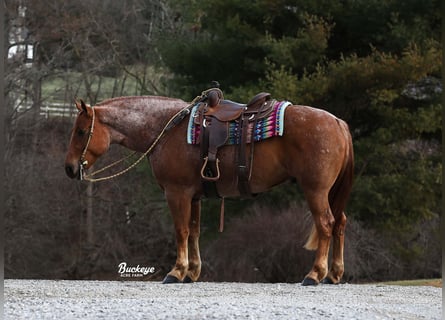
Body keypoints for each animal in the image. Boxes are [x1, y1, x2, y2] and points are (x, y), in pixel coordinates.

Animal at [63, 93, 354, 284]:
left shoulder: (177, 193)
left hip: (315, 190)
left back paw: (315, 274)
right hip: (330, 193)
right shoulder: (194, 197)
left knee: (326, 224)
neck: (166, 128)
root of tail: (338, 122)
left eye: (81, 131)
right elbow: (193, 231)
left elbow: (180, 230)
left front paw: (176, 271)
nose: (69, 167)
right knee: (340, 223)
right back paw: (334, 274)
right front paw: (192, 272)